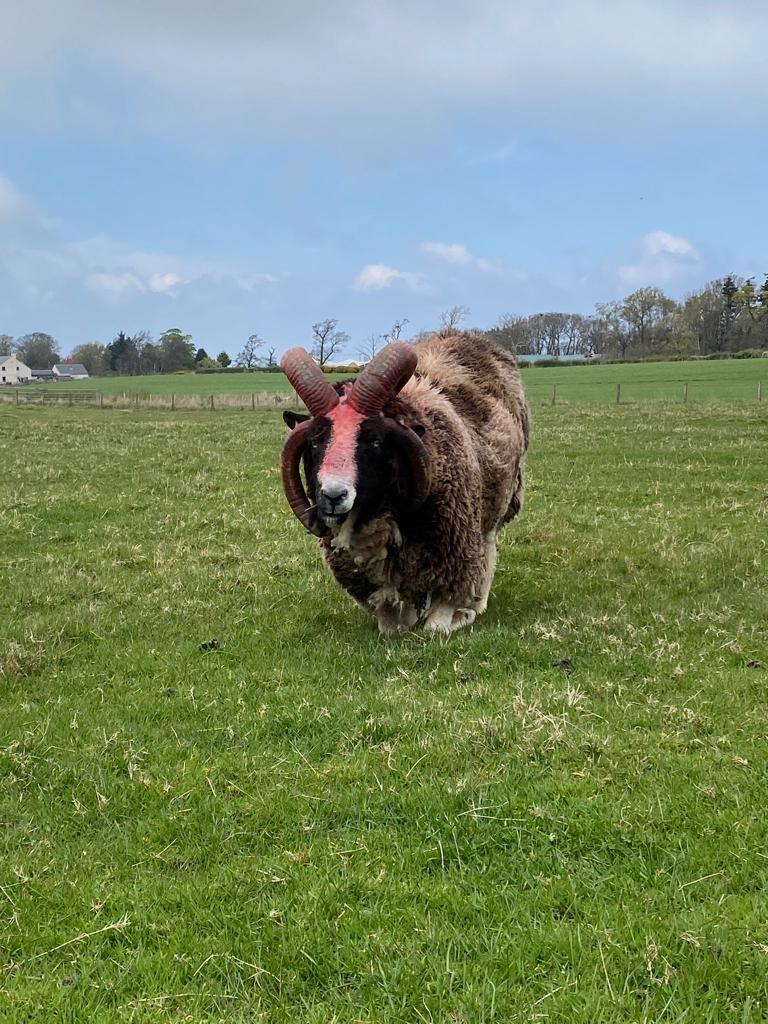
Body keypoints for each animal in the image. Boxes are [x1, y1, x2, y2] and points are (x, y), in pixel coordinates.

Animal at [280, 329, 529, 634]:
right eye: (315, 441)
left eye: (375, 441)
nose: (333, 496)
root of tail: (464, 336)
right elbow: (390, 621)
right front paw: (404, 620)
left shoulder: (453, 554)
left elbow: (437, 625)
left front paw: (459, 617)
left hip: (497, 501)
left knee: (488, 546)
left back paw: (476, 604)